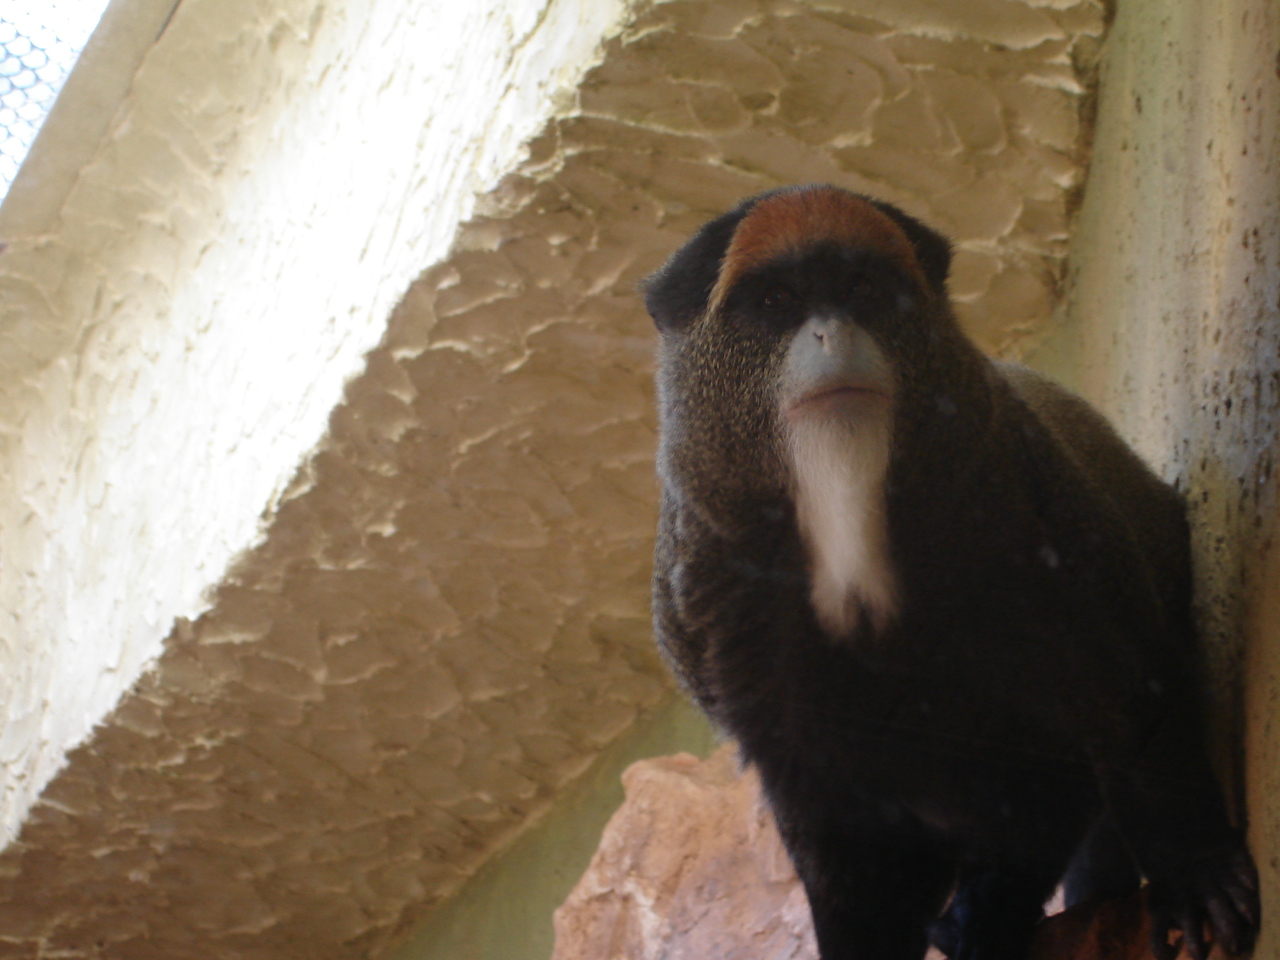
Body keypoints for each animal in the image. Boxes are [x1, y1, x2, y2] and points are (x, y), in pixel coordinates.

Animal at [642, 185, 1259, 960]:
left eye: (863, 289)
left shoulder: (1033, 498)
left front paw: (1195, 868)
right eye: (777, 301)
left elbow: (1125, 683)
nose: (832, 334)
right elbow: (830, 815)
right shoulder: (709, 604)